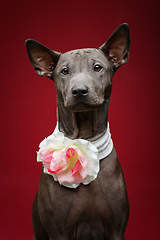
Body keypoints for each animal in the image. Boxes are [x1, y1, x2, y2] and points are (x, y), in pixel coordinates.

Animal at [25, 23, 130, 240]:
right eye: (64, 71)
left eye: (97, 67)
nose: (79, 91)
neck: (84, 138)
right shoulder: (59, 232)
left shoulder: (117, 230)